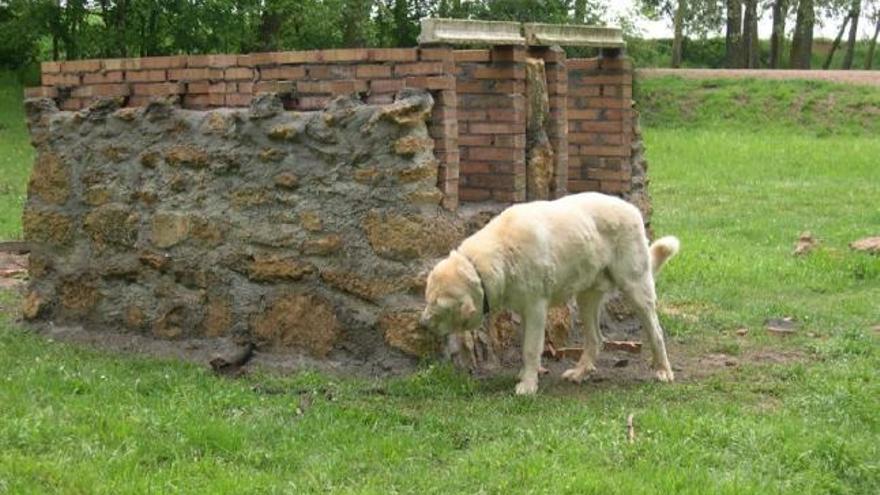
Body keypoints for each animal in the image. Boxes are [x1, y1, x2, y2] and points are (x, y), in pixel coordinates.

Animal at [422, 192, 680, 398]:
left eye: (438, 305)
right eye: (427, 300)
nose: (422, 324)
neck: (488, 261)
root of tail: (632, 209)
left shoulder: (536, 308)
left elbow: (530, 348)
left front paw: (528, 386)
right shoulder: (524, 312)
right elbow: (526, 347)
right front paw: (527, 375)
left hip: (636, 289)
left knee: (656, 332)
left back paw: (663, 371)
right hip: (586, 297)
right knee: (596, 339)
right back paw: (580, 373)